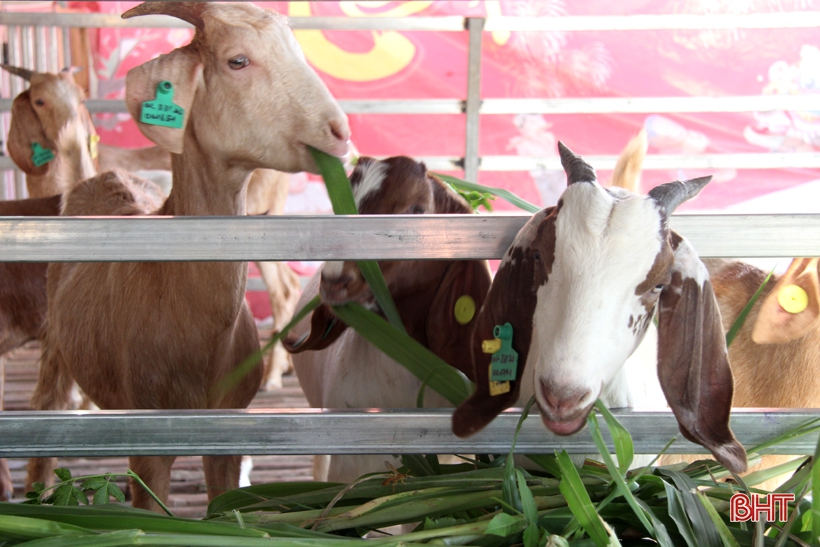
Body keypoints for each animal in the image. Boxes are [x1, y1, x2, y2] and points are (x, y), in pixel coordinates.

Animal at [27, 2, 348, 512]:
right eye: (238, 61)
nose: (339, 132)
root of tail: (93, 176)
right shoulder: (149, 443)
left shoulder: (227, 432)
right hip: (56, 345)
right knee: (45, 415)